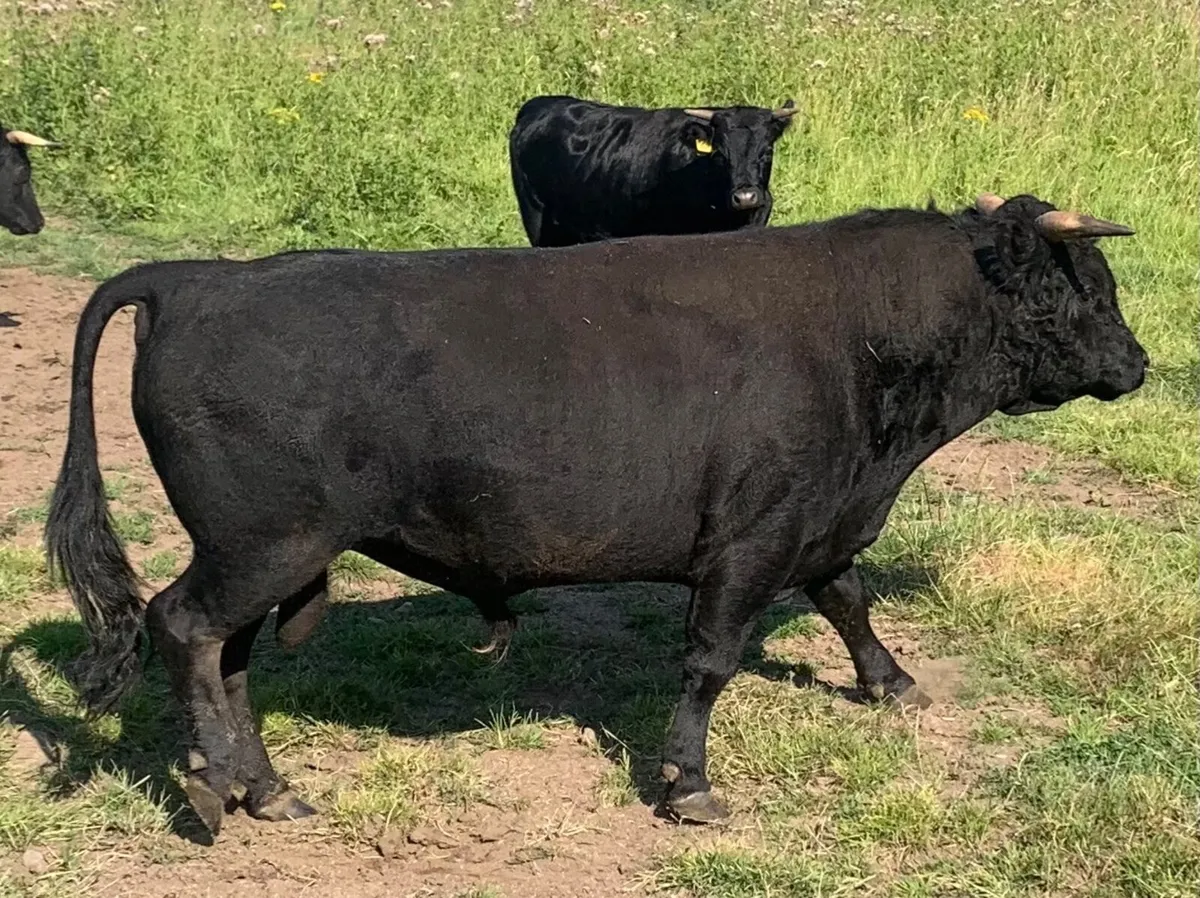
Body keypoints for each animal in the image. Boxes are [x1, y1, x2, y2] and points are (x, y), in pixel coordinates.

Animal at [46, 192, 1145, 836]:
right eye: (1090, 288)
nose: (1138, 364)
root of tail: (199, 279)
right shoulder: (750, 540)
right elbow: (712, 661)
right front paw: (689, 784)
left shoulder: (820, 518)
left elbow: (847, 597)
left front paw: (891, 681)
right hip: (263, 543)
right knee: (182, 626)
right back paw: (212, 783)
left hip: (261, 553)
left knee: (224, 656)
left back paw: (264, 786)